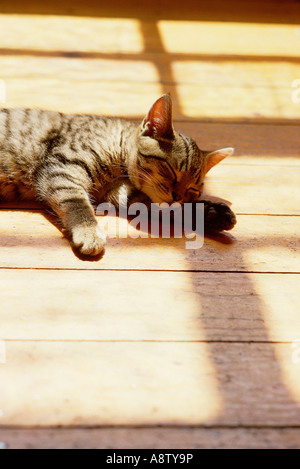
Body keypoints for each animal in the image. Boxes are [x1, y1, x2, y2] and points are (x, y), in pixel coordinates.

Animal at [0, 94, 236, 256]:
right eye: (171, 170)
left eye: (192, 189)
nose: (177, 196)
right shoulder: (63, 168)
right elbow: (77, 203)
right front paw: (89, 233)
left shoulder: (124, 194)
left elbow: (170, 209)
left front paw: (212, 212)